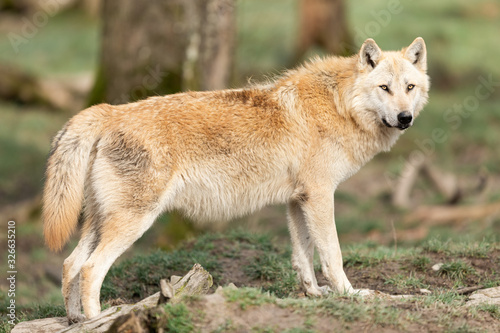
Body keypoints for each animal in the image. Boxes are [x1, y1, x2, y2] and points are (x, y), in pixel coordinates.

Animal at [44, 37, 430, 322]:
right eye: (384, 87)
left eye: (409, 87)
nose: (405, 118)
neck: (340, 104)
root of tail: (109, 111)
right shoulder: (320, 196)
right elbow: (332, 255)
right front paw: (349, 294)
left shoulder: (297, 201)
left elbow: (303, 256)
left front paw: (313, 295)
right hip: (133, 221)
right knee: (90, 269)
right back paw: (97, 321)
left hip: (100, 221)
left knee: (69, 264)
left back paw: (75, 320)